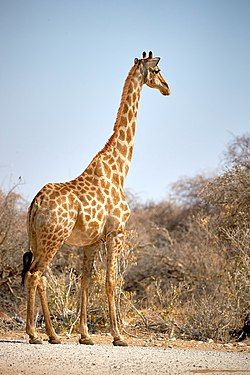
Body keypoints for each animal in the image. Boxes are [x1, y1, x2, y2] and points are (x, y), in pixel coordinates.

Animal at [22, 50, 170, 346]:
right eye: (158, 69)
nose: (167, 88)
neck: (119, 170)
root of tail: (35, 204)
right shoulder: (116, 232)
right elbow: (111, 280)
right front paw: (118, 336)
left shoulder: (90, 241)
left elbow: (86, 281)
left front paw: (85, 335)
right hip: (54, 237)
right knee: (35, 274)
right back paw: (34, 334)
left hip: (38, 238)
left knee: (38, 275)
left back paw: (52, 335)